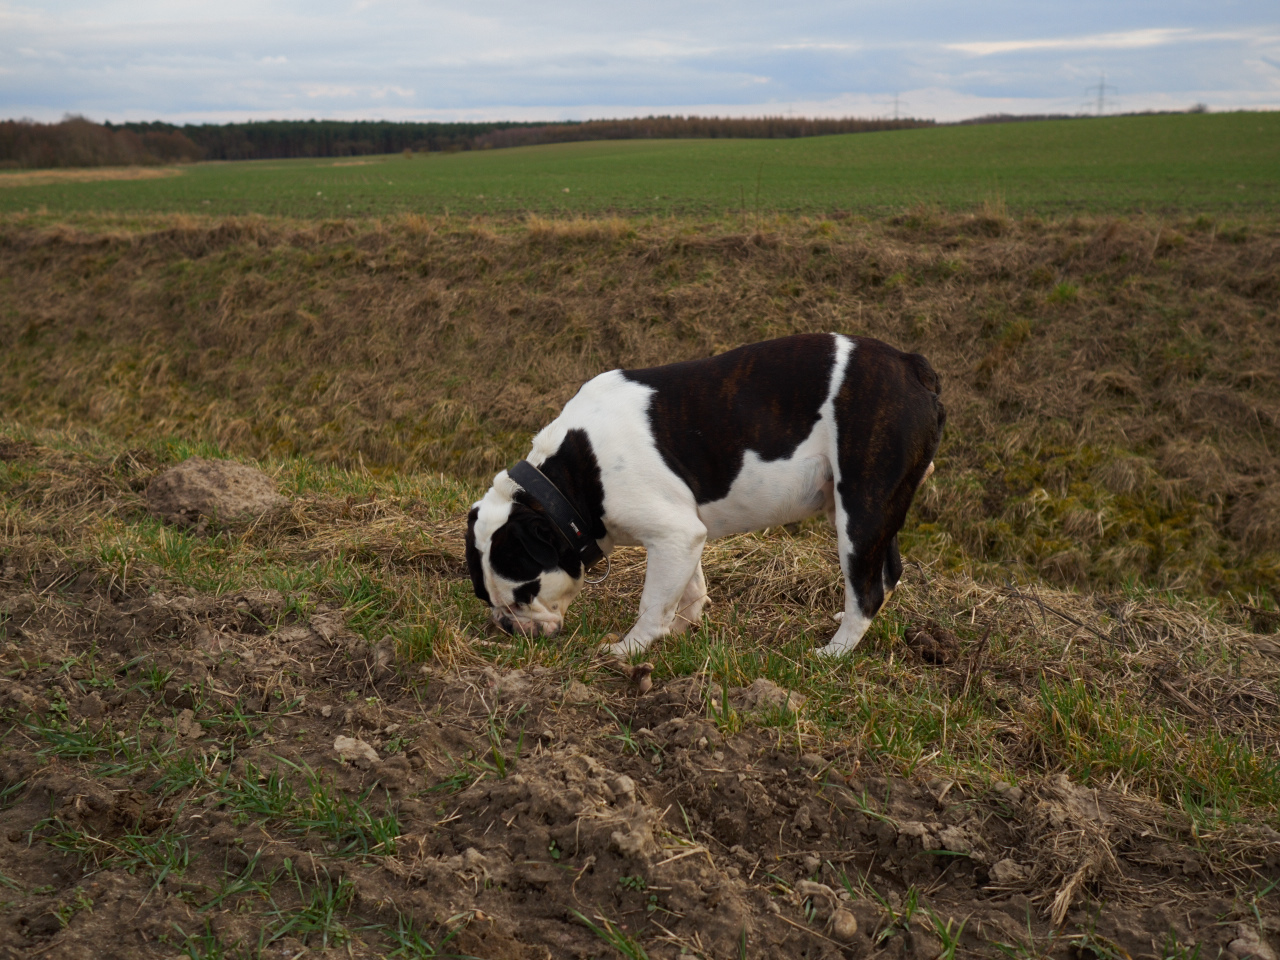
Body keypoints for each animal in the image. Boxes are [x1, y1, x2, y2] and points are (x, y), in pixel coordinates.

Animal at [465, 335, 947, 660]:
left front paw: (630, 648)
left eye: (523, 596)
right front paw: (681, 628)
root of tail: (910, 364)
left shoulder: (673, 533)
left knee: (867, 589)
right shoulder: (684, 535)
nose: (507, 626)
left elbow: (652, 602)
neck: (565, 484)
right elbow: (688, 587)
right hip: (868, 508)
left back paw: (835, 651)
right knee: (888, 571)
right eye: (487, 600)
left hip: (860, 510)